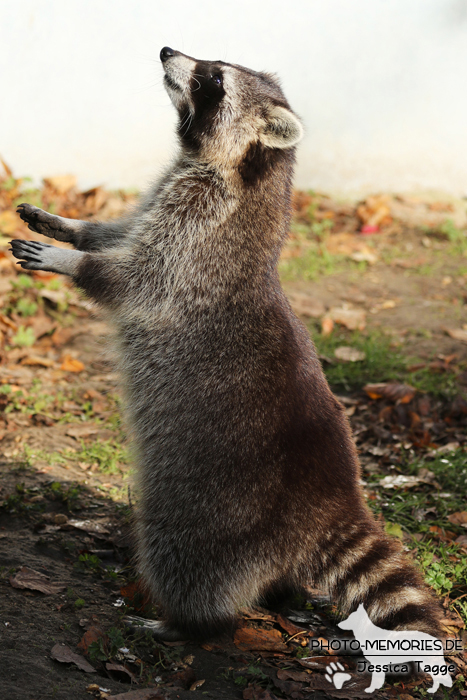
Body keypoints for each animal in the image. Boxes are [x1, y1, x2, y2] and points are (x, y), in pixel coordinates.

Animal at [10, 46, 442, 644]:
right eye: (213, 63)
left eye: (213, 80)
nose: (167, 49)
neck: (241, 171)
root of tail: (333, 504)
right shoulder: (170, 201)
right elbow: (117, 234)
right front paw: (68, 225)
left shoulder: (198, 236)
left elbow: (131, 279)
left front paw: (69, 260)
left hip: (219, 510)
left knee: (185, 558)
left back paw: (188, 623)